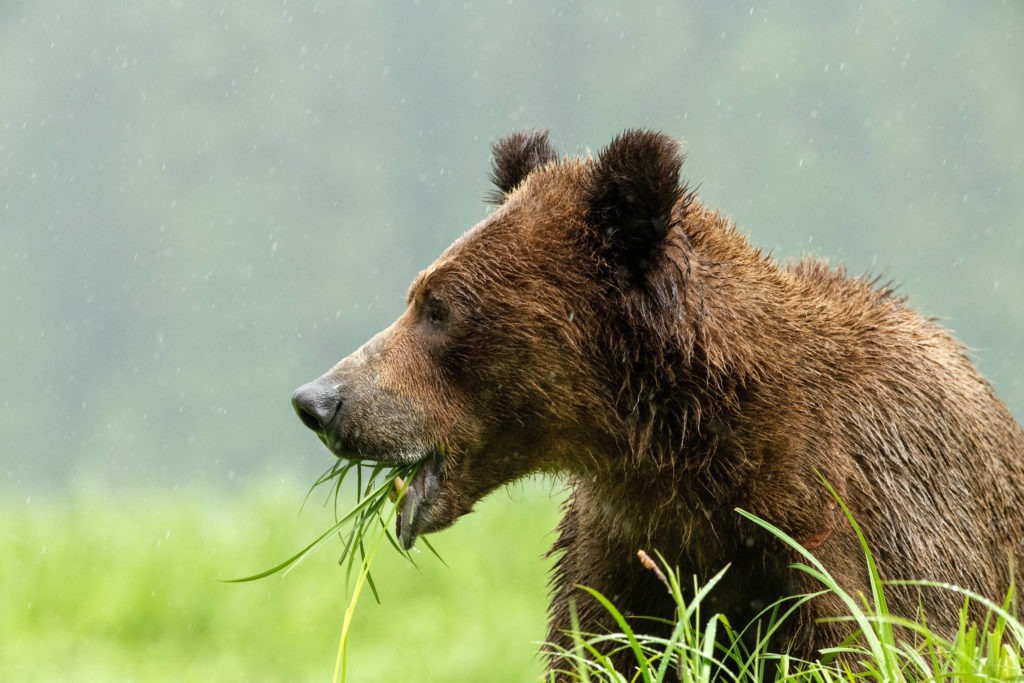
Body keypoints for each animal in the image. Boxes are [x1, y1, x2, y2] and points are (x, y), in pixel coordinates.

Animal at [288, 129, 1024, 679]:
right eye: (418, 295)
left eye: (437, 308)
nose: (319, 400)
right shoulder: (624, 552)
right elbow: (601, 648)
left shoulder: (866, 536)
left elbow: (889, 638)